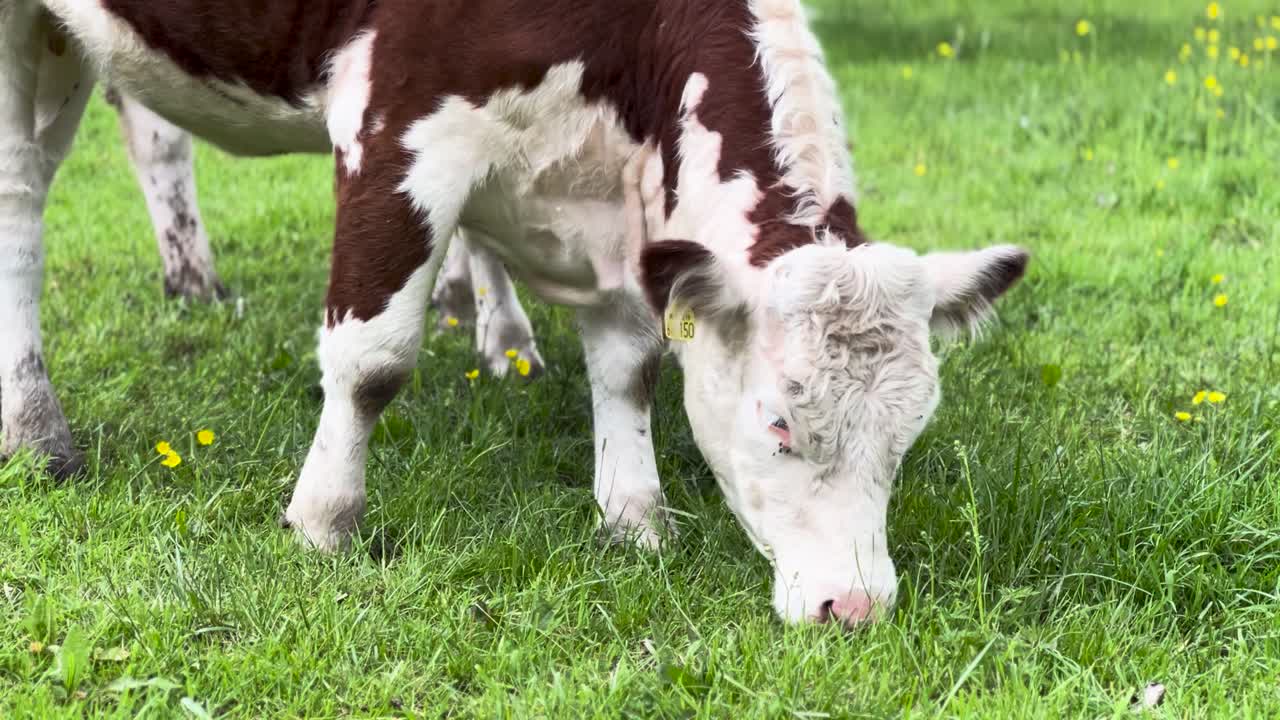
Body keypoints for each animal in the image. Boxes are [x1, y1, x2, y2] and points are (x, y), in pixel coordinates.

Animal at [0, 0, 1028, 627]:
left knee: (146, 134)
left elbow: (630, 365)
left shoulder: (615, 191)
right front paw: (325, 521)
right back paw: (37, 429)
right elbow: (372, 358)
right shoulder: (400, 118)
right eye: (778, 421)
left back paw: (193, 284)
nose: (854, 607)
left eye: (909, 436)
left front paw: (635, 517)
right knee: (21, 196)